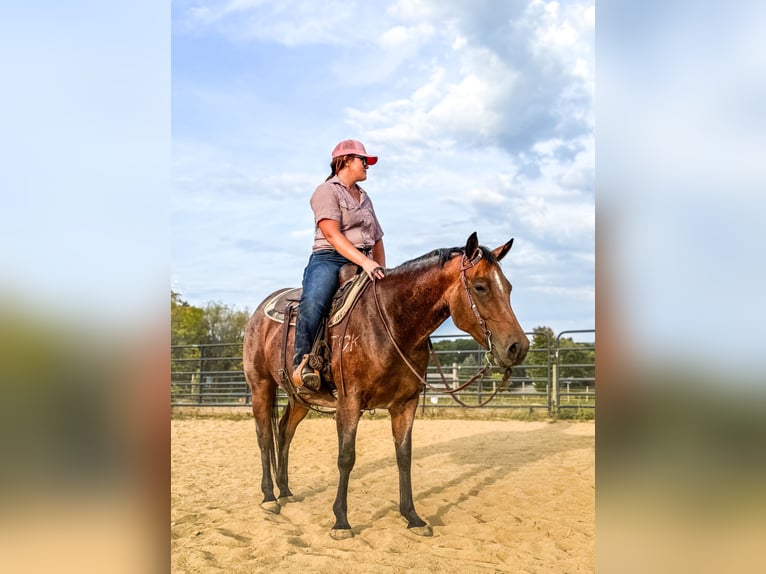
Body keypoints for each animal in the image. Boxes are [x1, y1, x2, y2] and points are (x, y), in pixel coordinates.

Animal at [243, 232, 529, 539]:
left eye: (508, 287)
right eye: (480, 287)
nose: (518, 347)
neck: (391, 323)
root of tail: (259, 312)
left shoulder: (406, 403)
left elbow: (404, 456)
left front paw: (412, 516)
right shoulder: (349, 402)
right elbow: (346, 457)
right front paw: (340, 521)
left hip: (300, 397)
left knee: (284, 432)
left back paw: (285, 491)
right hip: (261, 387)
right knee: (264, 436)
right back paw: (269, 497)